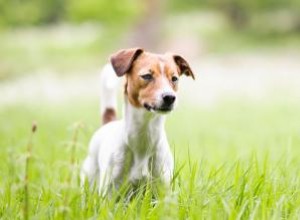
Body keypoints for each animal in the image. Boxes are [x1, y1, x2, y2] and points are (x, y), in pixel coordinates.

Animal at [81, 47, 195, 194]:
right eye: (147, 76)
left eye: (174, 79)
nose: (170, 97)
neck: (144, 137)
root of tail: (108, 123)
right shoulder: (110, 191)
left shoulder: (162, 189)